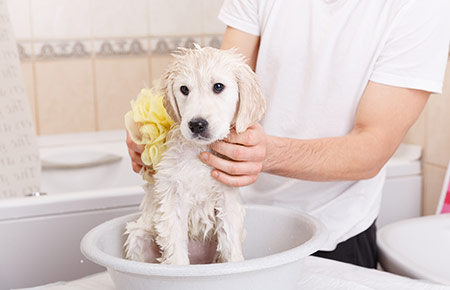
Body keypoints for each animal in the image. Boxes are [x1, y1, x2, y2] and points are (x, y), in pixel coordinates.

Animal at [123, 46, 266, 266]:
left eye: (218, 87)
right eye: (184, 89)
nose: (197, 124)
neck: (200, 152)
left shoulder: (227, 200)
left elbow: (231, 246)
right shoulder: (172, 201)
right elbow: (176, 253)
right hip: (139, 236)